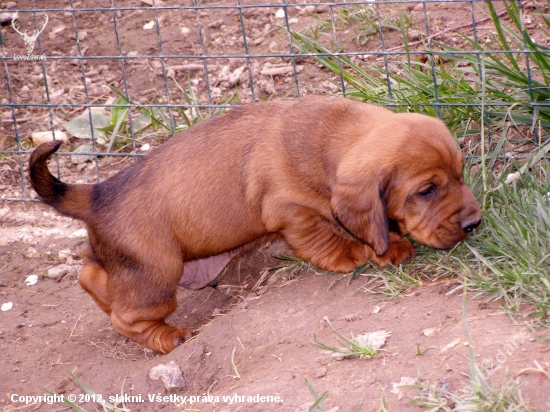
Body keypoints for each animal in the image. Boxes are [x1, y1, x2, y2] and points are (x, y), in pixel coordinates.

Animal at [28, 97, 480, 354]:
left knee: (90, 276)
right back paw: (167, 338)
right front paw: (358, 253)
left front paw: (392, 242)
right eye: (426, 190)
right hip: (158, 272)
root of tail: (97, 194)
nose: (475, 223)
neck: (327, 137)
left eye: (460, 174)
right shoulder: (290, 211)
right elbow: (327, 237)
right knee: (126, 317)